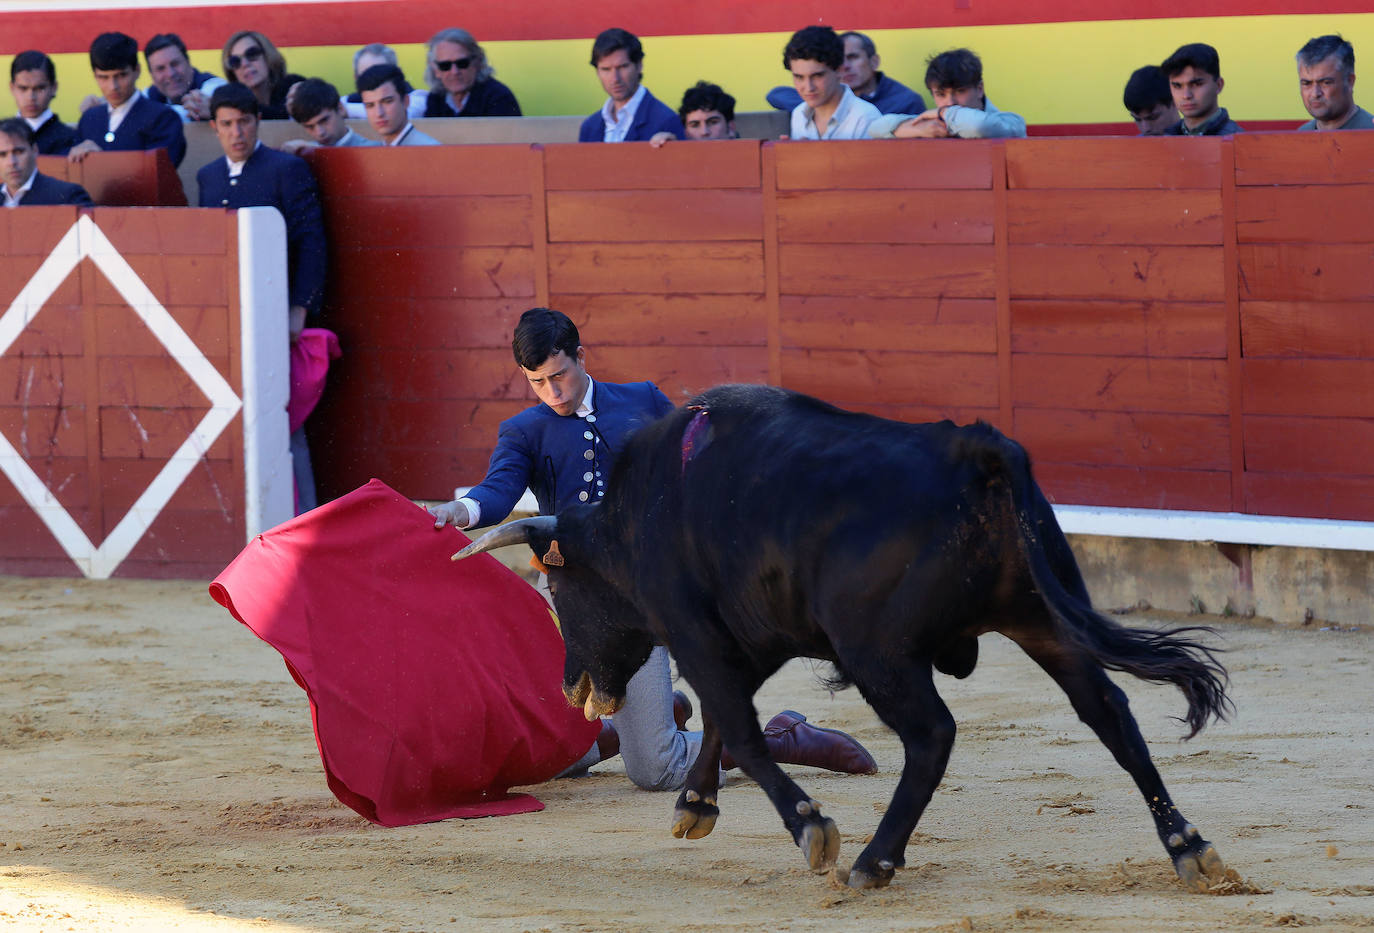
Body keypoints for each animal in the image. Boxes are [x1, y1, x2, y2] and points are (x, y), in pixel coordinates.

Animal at [456, 384, 1231, 890]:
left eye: (558, 592)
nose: (570, 686)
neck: (633, 518)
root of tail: (974, 448)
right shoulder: (752, 639)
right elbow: (726, 722)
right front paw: (696, 808)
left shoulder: (696, 634)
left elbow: (741, 731)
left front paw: (810, 828)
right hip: (1040, 618)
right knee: (1109, 712)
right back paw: (1189, 847)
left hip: (879, 653)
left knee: (932, 735)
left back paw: (872, 860)